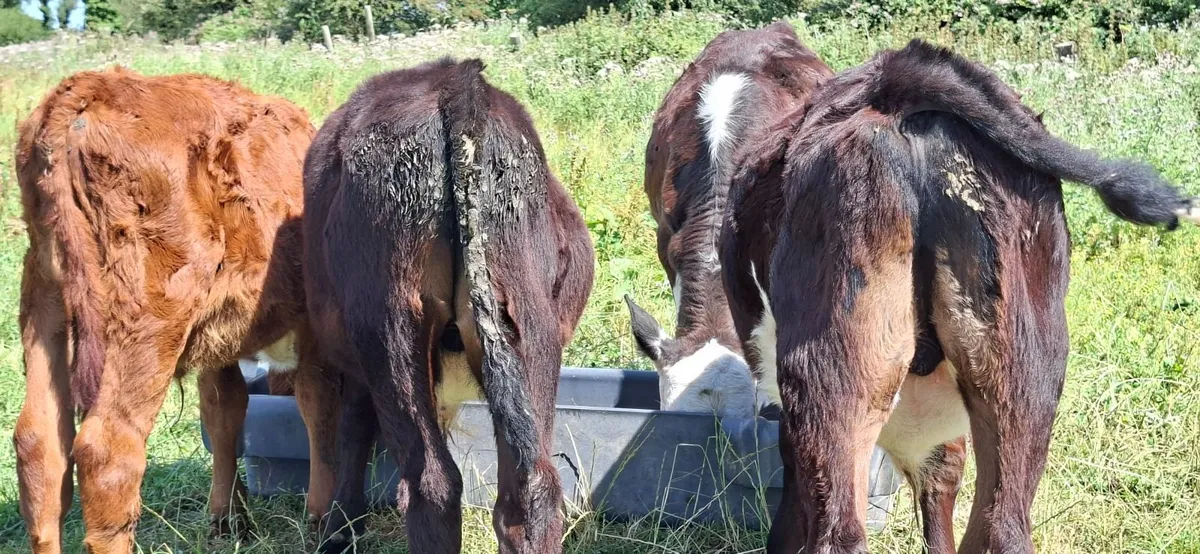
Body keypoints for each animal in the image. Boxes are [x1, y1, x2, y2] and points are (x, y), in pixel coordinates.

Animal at [12, 67, 339, 553]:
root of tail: (90, 88)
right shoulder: (312, 331)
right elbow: (318, 409)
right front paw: (326, 525)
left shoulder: (220, 340)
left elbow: (224, 413)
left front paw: (227, 517)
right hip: (147, 320)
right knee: (108, 453)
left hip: (45, 302)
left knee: (40, 445)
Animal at [302, 58, 594, 554]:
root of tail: (456, 83)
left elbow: (353, 429)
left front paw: (340, 527)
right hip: (527, 324)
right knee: (531, 489)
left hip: (390, 326)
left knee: (432, 485)